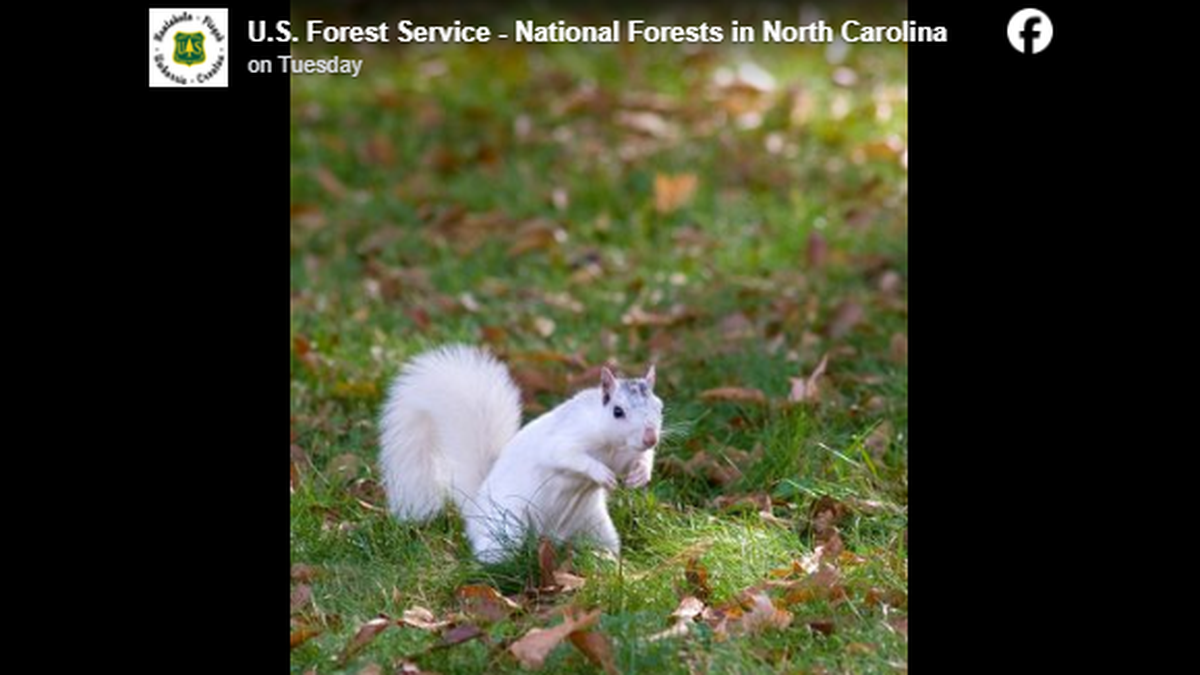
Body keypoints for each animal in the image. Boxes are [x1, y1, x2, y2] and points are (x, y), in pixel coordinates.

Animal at [378, 344, 663, 563]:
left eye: (659, 406)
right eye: (618, 411)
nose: (651, 438)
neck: (612, 446)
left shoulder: (625, 454)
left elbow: (640, 460)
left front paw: (640, 474)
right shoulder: (563, 440)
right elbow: (569, 457)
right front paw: (601, 473)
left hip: (593, 526)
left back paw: (607, 561)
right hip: (509, 526)